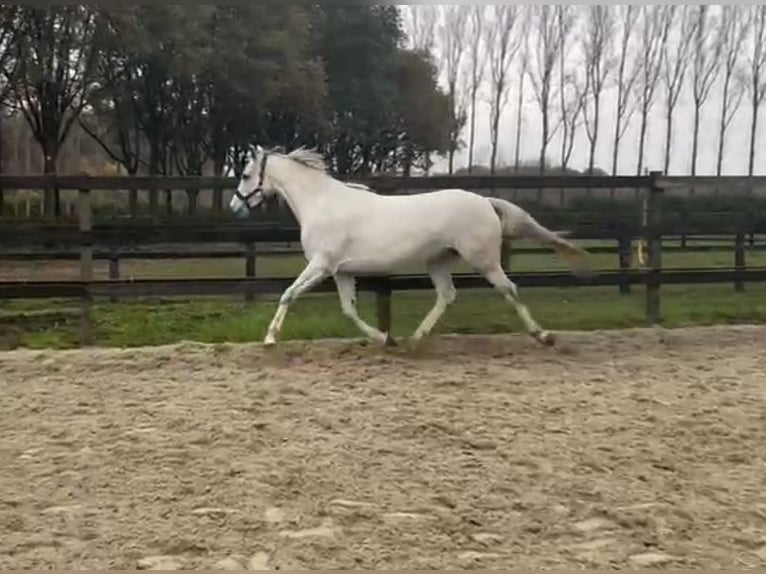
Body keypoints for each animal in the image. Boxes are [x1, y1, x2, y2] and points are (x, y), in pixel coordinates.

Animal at [228, 146, 588, 348]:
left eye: (245, 175)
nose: (234, 207)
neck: (321, 203)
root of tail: (485, 201)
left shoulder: (320, 265)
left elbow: (288, 294)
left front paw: (270, 338)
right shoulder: (341, 272)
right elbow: (349, 310)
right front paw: (385, 339)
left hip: (483, 260)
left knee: (509, 290)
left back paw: (543, 336)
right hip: (438, 260)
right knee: (447, 295)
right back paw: (416, 338)